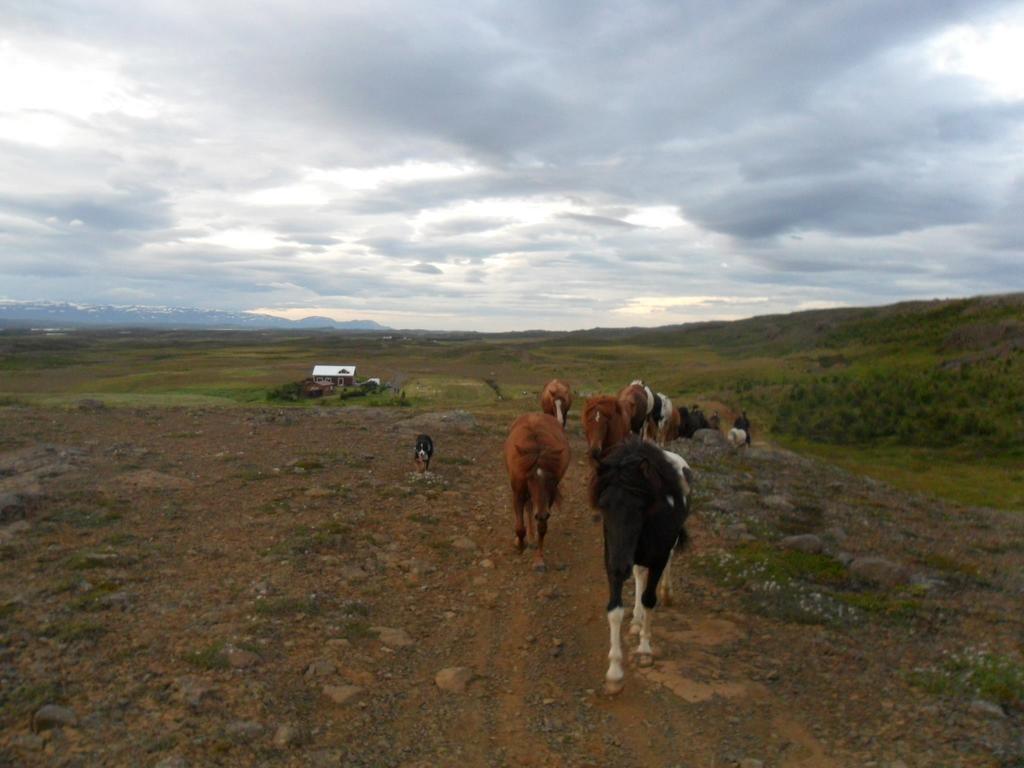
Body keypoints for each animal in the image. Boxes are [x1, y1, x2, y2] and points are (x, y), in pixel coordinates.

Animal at [501, 415, 573, 573]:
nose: (541, 513)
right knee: (528, 509)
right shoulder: (518, 494)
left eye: (551, 478)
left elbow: (542, 527)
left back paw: (532, 537)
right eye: (530, 477)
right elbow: (519, 527)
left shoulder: (547, 501)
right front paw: (520, 545)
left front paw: (539, 560)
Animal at [593, 436, 688, 696]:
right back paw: (635, 621)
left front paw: (645, 650)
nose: (619, 567)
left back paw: (667, 593)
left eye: (639, 507)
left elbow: (649, 600)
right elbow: (615, 609)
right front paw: (615, 672)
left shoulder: (658, 557)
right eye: (603, 505)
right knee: (638, 574)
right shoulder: (611, 556)